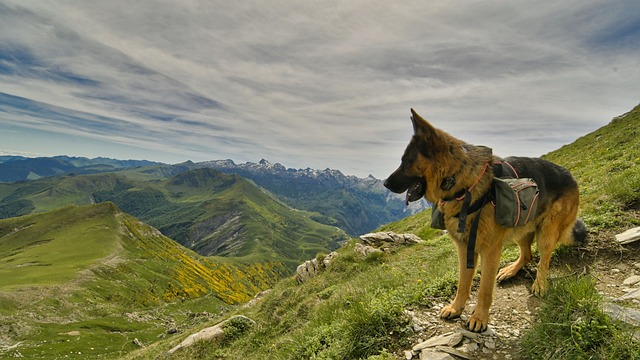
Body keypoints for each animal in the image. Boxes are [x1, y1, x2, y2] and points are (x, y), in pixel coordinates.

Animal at [382, 109, 588, 332]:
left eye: (405, 161)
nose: (385, 183)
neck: (462, 183)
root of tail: (570, 176)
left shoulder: (490, 250)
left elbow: (484, 289)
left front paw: (479, 318)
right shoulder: (464, 247)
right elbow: (463, 283)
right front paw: (456, 308)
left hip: (546, 233)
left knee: (543, 260)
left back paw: (540, 284)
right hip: (521, 227)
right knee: (527, 254)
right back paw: (510, 271)